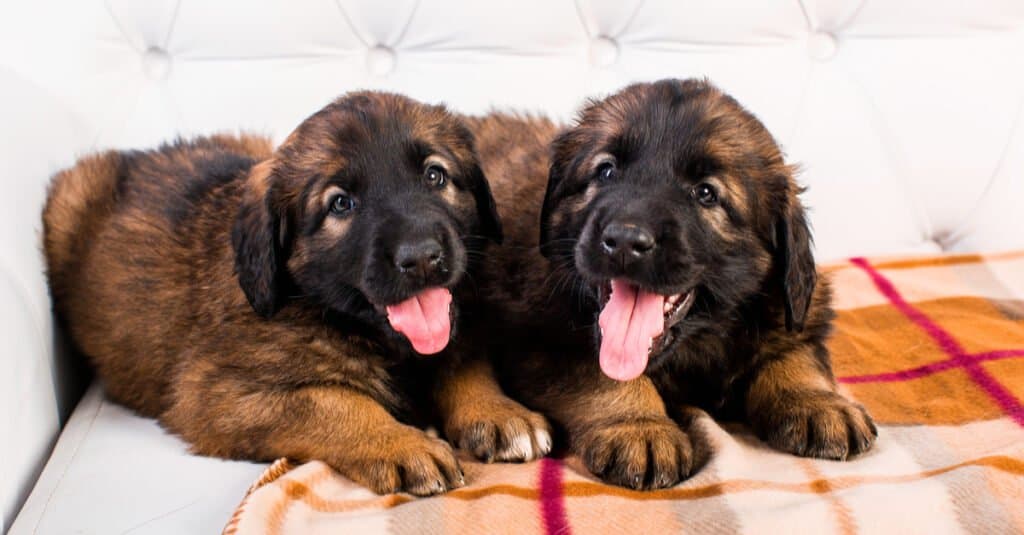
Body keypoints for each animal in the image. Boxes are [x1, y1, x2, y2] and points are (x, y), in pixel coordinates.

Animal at [43, 89, 548, 494]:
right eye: (341, 203)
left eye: (434, 175)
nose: (422, 257)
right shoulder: (217, 394)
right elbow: (334, 401)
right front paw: (402, 443)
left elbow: (464, 362)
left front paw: (500, 412)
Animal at [468, 76, 876, 489]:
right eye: (606, 171)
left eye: (706, 193)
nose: (625, 240)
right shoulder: (543, 340)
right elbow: (603, 376)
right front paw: (639, 427)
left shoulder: (794, 306)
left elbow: (793, 352)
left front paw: (819, 403)